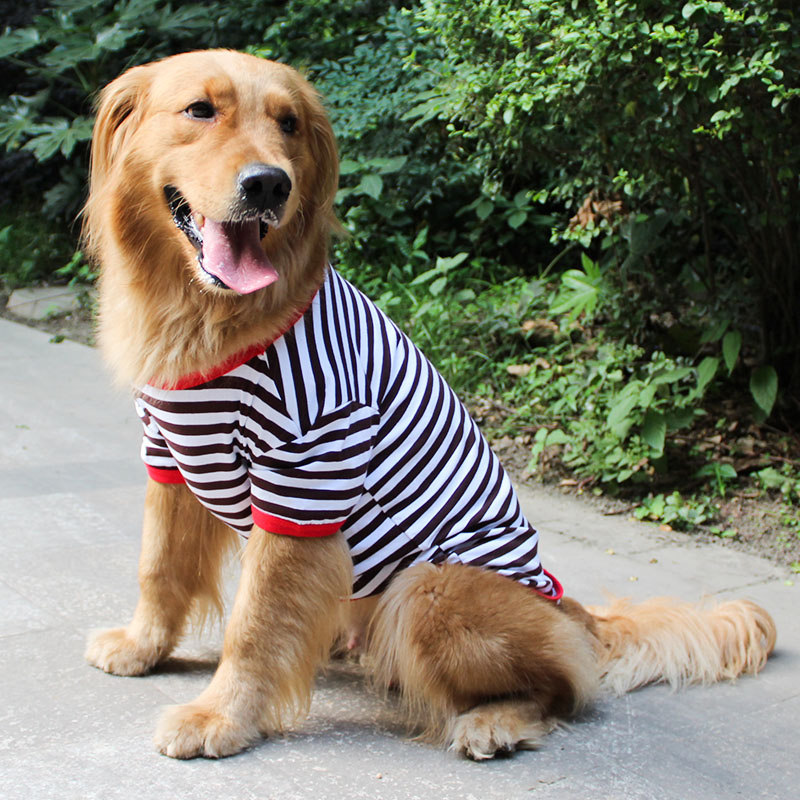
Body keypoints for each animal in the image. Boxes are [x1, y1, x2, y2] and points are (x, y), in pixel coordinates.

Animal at [82, 50, 776, 760]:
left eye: (289, 123)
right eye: (200, 110)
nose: (270, 185)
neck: (210, 317)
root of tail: (562, 604)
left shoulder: (304, 480)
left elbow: (253, 625)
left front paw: (220, 716)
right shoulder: (168, 457)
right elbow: (159, 567)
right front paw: (143, 647)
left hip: (428, 589)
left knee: (566, 689)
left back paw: (495, 721)